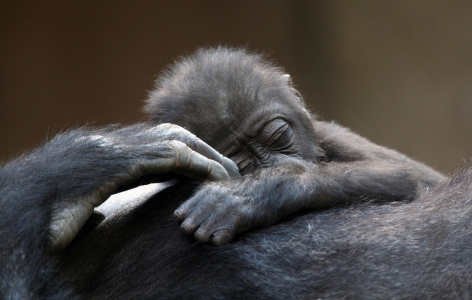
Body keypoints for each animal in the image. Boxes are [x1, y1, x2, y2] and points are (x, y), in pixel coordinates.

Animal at [146, 46, 444, 244]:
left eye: (278, 136)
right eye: (242, 163)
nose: (278, 165)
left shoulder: (335, 137)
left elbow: (400, 175)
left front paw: (249, 195)